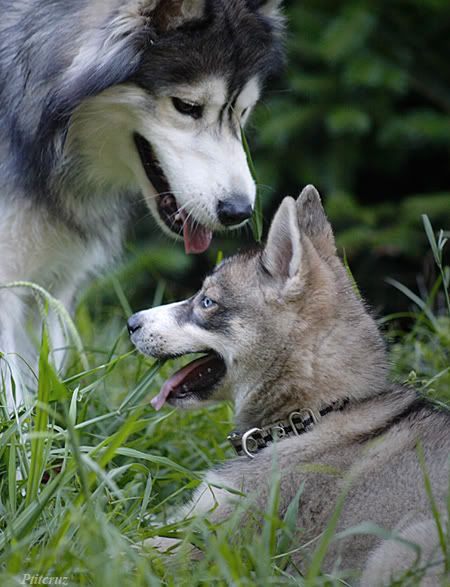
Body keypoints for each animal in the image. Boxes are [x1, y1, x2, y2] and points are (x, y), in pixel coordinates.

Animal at [128, 186, 448, 584]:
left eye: (207, 301)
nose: (131, 322)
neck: (309, 418)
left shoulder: (203, 542)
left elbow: (116, 543)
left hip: (397, 551)